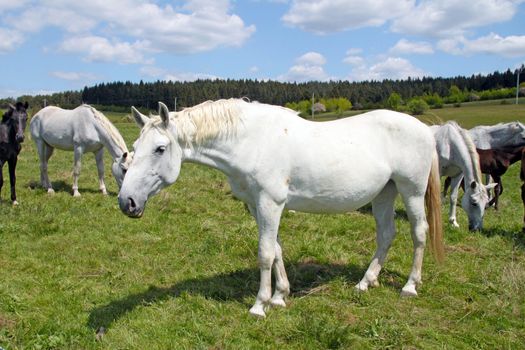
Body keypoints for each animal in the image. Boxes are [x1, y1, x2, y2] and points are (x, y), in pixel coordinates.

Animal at [117, 98, 442, 318]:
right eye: (135, 146)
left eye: (160, 149)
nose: (126, 202)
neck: (250, 142)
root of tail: (426, 130)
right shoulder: (256, 205)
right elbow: (276, 249)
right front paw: (280, 296)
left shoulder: (269, 203)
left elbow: (264, 253)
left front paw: (260, 305)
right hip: (385, 193)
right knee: (386, 234)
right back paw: (365, 282)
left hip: (411, 191)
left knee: (419, 233)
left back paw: (410, 286)